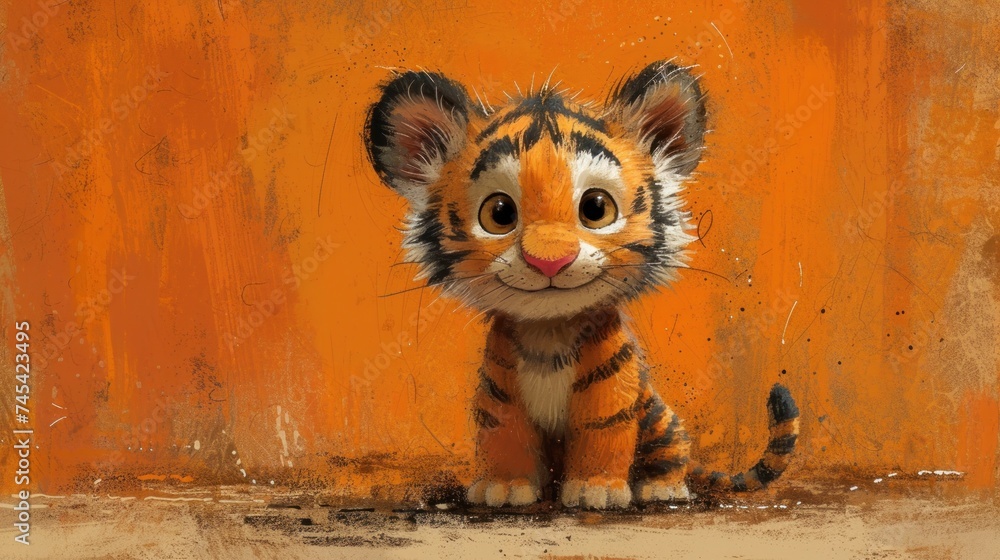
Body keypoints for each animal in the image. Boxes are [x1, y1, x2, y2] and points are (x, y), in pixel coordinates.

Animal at [364, 60, 800, 509]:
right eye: (499, 213)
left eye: (596, 208)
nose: (549, 260)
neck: (548, 332)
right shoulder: (500, 401)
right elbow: (504, 438)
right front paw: (504, 489)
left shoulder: (611, 398)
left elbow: (602, 436)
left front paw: (597, 490)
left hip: (659, 418)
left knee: (673, 449)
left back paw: (662, 488)